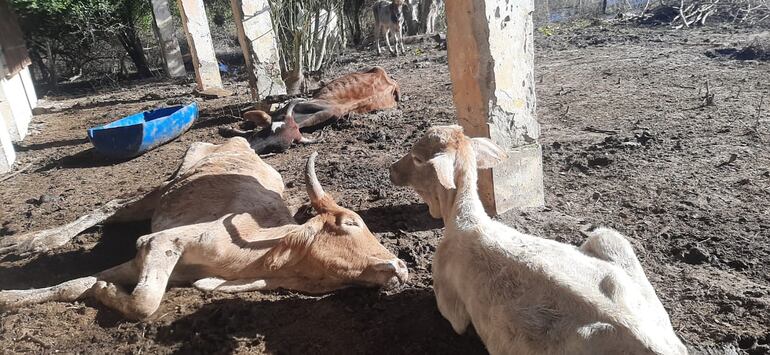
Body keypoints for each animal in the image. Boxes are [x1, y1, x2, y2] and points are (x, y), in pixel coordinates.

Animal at [0, 138, 408, 322]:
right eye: (350, 223)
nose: (402, 266)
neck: (260, 253)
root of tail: (235, 140)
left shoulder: (147, 262)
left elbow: (77, 284)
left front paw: (11, 299)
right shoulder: (161, 240)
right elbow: (145, 301)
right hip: (164, 186)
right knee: (110, 206)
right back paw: (31, 242)